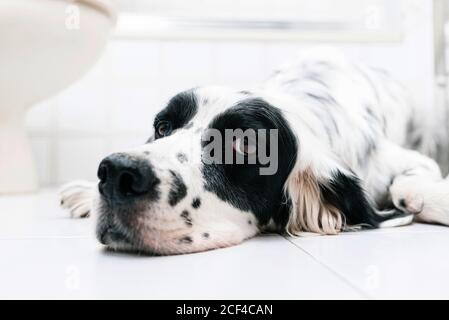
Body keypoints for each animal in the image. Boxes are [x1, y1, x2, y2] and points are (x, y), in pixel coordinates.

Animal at [61, 50, 448, 255]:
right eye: (163, 127)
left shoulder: (407, 161)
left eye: (244, 144)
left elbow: (407, 184)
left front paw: (435, 196)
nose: (117, 174)